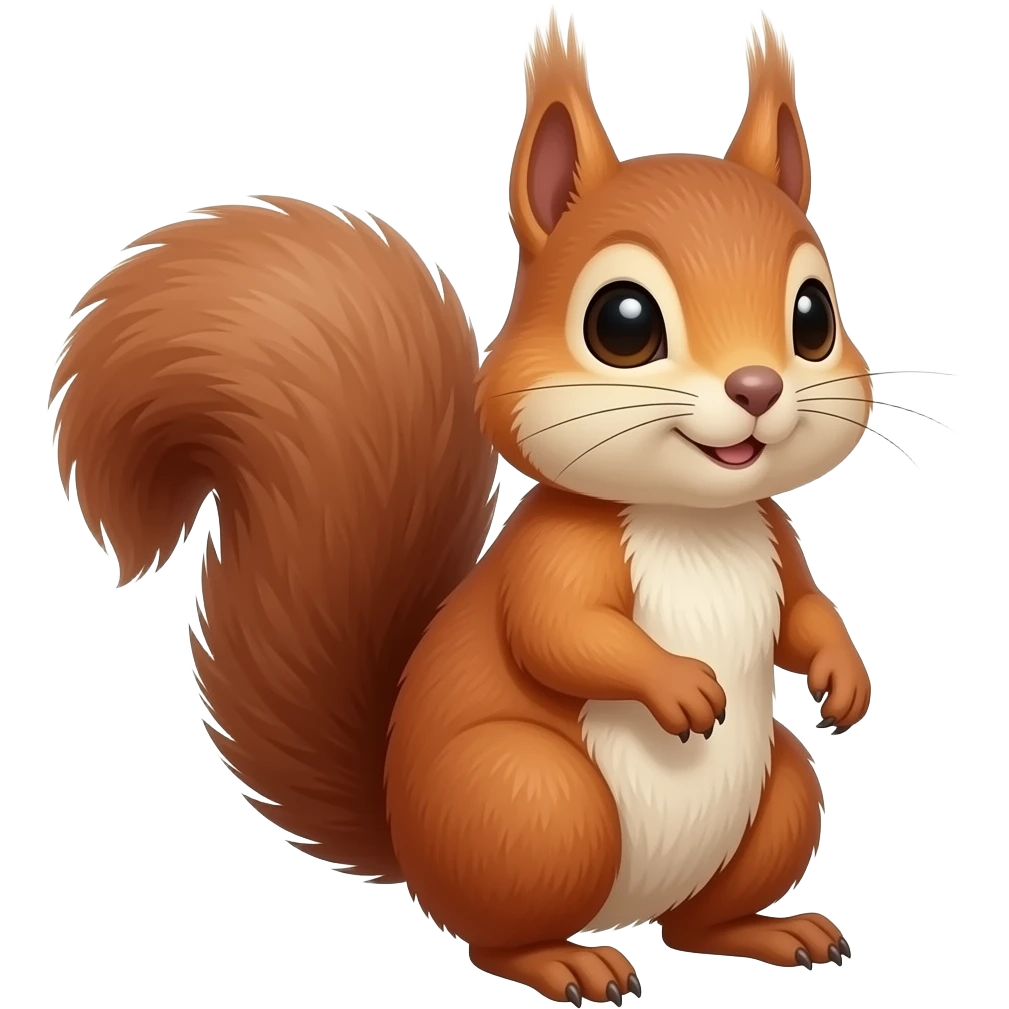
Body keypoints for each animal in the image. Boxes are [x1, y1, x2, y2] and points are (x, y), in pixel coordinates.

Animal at [50, 9, 873, 1004]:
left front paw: (843, 675)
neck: (691, 518)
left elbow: (803, 611)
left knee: (696, 920)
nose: (756, 387)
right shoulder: (553, 553)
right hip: (531, 798)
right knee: (495, 936)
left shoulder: (775, 537)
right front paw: (677, 685)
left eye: (813, 315)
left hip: (774, 794)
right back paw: (567, 960)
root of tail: (409, 847)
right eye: (623, 322)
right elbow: (560, 631)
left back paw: (768, 929)